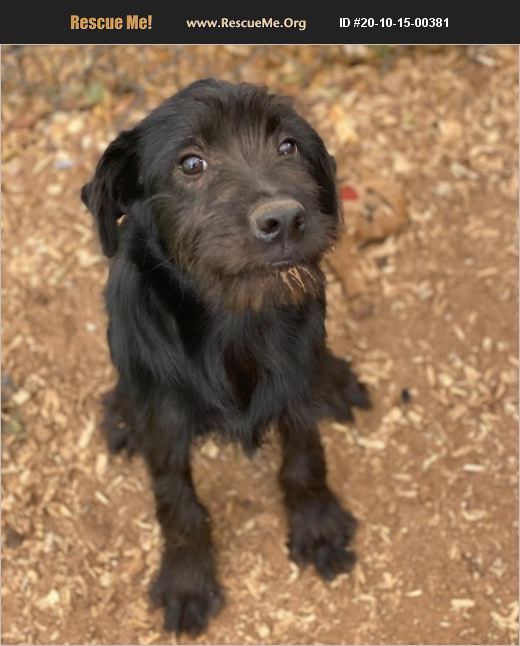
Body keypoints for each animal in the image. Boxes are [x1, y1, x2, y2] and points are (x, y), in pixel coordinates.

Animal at [82, 78, 370, 636]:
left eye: (288, 146)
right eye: (191, 163)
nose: (284, 219)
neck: (235, 321)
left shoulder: (295, 390)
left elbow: (305, 459)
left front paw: (318, 527)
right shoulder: (163, 423)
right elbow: (177, 503)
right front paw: (187, 581)